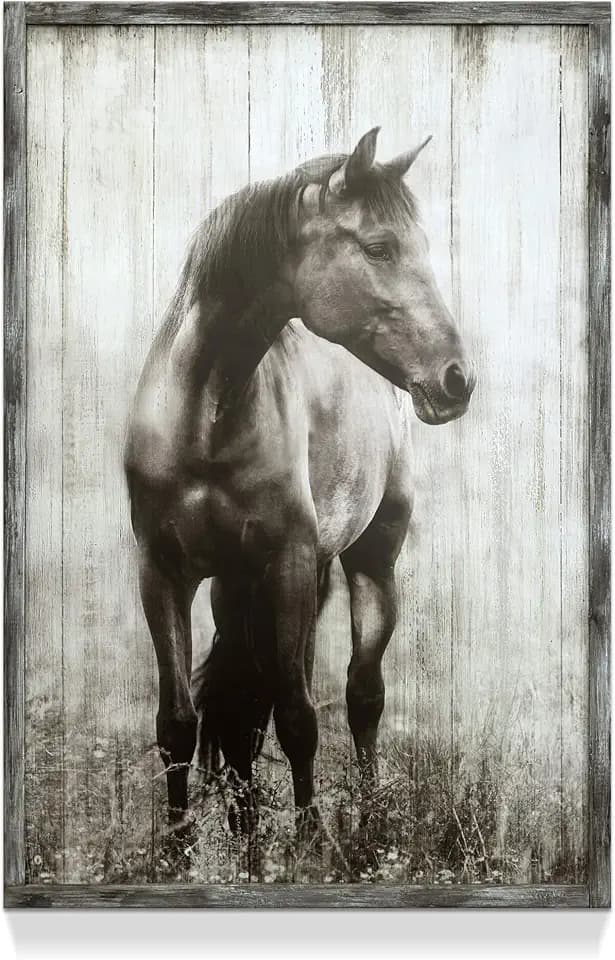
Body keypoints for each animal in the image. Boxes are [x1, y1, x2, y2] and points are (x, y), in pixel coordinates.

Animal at [125, 127, 475, 837]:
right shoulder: (162, 572)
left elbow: (299, 719)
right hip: (244, 585)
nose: (455, 380)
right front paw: (177, 844)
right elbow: (177, 725)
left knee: (362, 694)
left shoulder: (286, 567)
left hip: (368, 562)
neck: (205, 418)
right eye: (378, 247)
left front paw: (310, 838)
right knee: (244, 703)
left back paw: (364, 814)